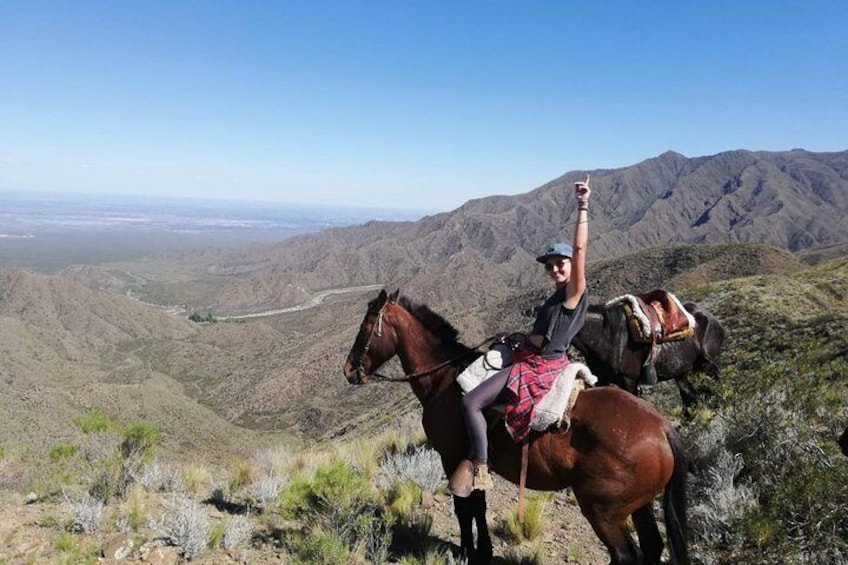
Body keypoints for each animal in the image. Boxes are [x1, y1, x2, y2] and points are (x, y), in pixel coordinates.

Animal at [568, 300, 724, 414]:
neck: (605, 337)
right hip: (682, 371)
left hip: (704, 363)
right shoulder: (602, 382)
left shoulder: (629, 381)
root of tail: (708, 315)